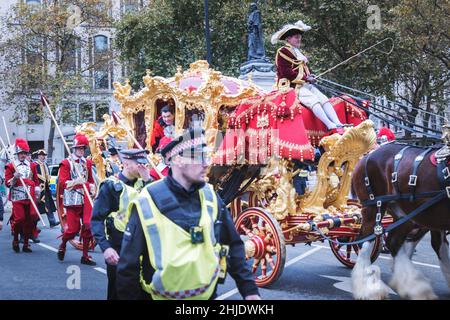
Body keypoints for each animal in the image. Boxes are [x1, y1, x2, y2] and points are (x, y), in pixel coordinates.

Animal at [352, 143, 450, 300]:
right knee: (366, 242)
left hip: (408, 214)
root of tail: (366, 156)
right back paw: (367, 289)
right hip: (374, 208)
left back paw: (412, 284)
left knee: (394, 241)